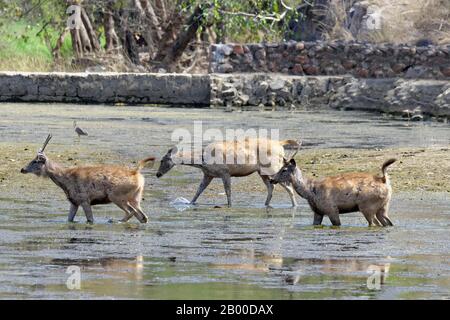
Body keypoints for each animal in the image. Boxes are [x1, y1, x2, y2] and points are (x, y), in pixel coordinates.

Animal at [20, 134, 156, 222]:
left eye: (36, 161)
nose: (22, 169)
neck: (65, 181)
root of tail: (136, 173)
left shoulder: (84, 199)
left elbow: (90, 220)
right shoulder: (74, 201)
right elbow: (69, 219)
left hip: (116, 196)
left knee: (131, 212)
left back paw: (114, 221)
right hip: (135, 197)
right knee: (143, 217)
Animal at [156, 138, 300, 208]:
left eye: (162, 160)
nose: (157, 174)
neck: (202, 161)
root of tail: (280, 145)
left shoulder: (225, 172)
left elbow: (228, 191)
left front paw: (230, 205)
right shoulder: (208, 174)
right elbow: (198, 190)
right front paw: (190, 203)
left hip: (273, 168)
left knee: (288, 186)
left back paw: (294, 205)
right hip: (262, 172)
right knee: (271, 186)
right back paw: (266, 204)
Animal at [268, 158, 396, 228]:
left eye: (284, 170)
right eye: (280, 168)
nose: (271, 179)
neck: (310, 192)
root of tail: (384, 180)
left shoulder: (331, 209)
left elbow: (337, 224)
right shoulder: (318, 211)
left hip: (367, 206)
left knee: (374, 223)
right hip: (383, 206)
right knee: (388, 223)